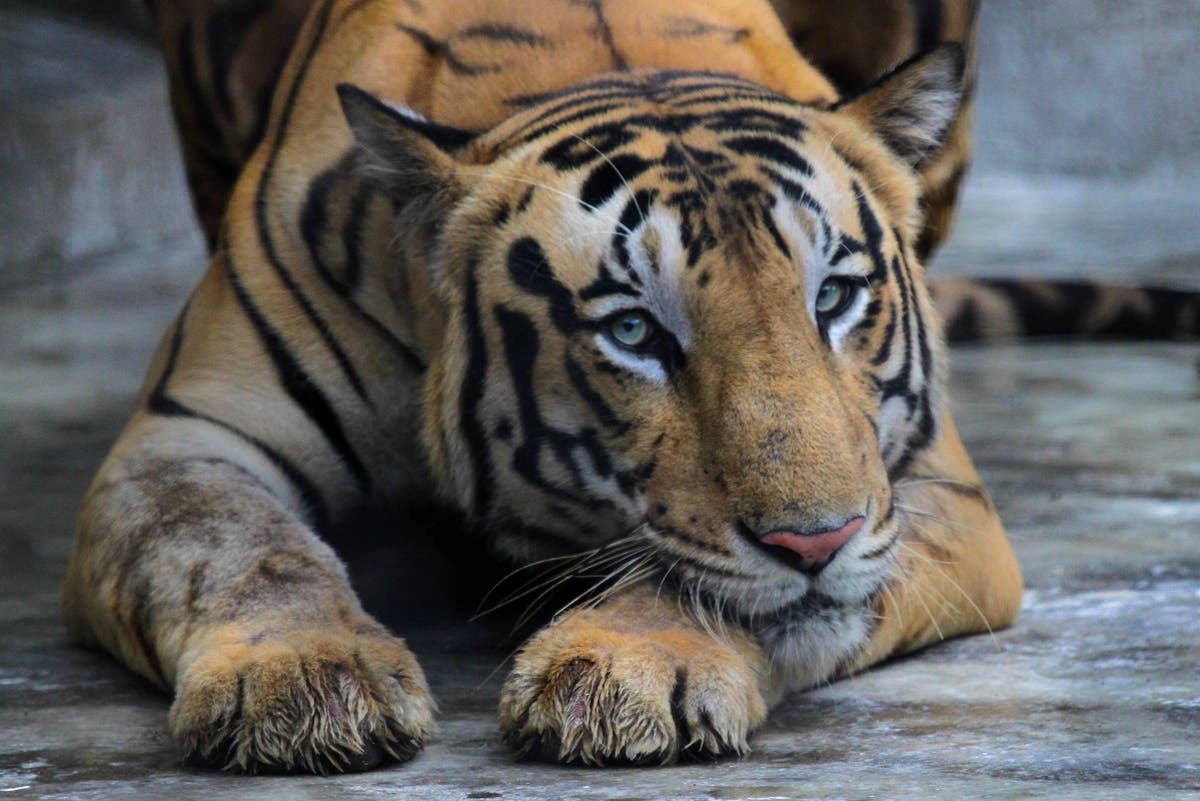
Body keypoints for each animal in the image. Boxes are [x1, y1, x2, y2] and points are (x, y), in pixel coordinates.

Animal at [68, 0, 1200, 777]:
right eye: (633, 333)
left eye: (833, 296)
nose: (817, 542)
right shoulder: (185, 436)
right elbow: (233, 547)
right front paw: (301, 678)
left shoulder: (933, 489)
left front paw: (621, 668)